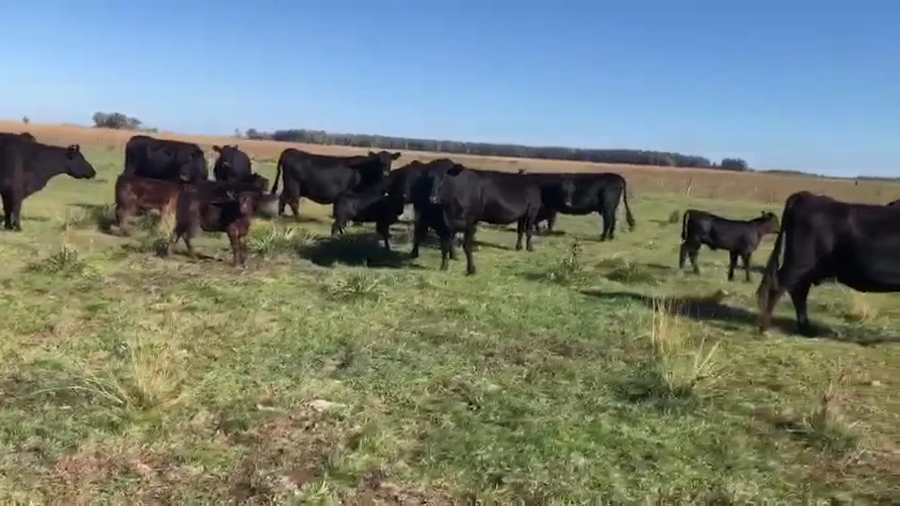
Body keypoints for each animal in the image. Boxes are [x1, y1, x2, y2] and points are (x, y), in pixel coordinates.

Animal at [410, 162, 542, 275]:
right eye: (429, 179)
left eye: (444, 178)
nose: (433, 199)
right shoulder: (443, 225)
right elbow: (445, 247)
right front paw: (444, 267)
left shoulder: (471, 223)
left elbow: (467, 247)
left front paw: (471, 270)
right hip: (523, 216)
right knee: (520, 230)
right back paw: (519, 247)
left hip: (532, 211)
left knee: (528, 230)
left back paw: (529, 248)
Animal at [756, 191, 900, 336]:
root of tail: (807, 196)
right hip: (799, 263)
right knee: (778, 287)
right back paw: (765, 328)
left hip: (807, 268)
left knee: (799, 291)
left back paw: (806, 329)